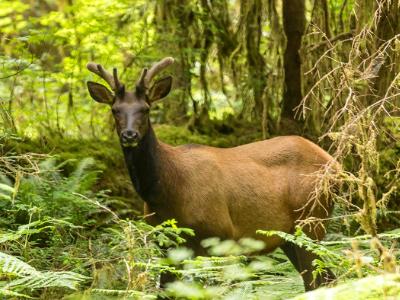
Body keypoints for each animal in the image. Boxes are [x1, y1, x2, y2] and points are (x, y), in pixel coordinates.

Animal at [86, 56, 334, 290]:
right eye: (115, 110)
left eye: (146, 109)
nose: (129, 135)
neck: (167, 191)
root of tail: (334, 164)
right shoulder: (167, 245)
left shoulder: (220, 235)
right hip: (290, 236)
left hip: (311, 220)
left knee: (317, 280)